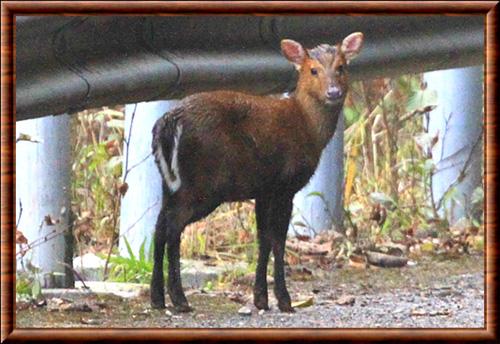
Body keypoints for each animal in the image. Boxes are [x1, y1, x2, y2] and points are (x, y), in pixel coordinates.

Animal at [149, 31, 364, 312]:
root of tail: (168, 122)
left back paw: (157, 298)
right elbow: (278, 240)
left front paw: (261, 298)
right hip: (203, 184)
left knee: (159, 226)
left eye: (341, 67)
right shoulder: (285, 184)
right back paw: (180, 299)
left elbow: (263, 240)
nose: (334, 91)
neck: (308, 128)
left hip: (170, 182)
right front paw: (284, 300)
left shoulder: (263, 189)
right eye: (313, 70)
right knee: (173, 228)